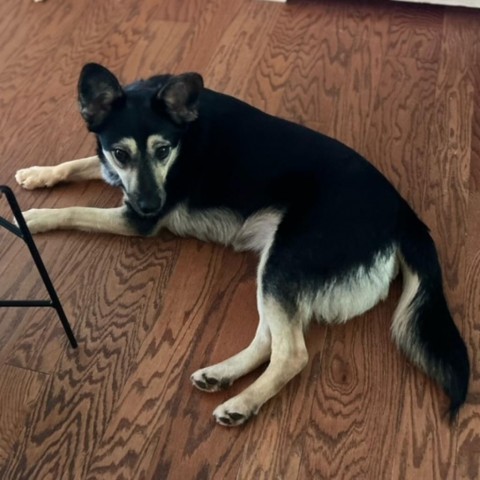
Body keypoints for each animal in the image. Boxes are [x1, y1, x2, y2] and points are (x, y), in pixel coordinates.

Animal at [14, 62, 468, 426]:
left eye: (163, 151)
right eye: (122, 154)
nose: (150, 205)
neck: (183, 137)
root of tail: (404, 215)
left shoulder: (134, 219)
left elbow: (74, 210)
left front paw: (29, 218)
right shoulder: (115, 175)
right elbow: (81, 163)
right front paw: (39, 174)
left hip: (284, 262)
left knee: (292, 353)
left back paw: (242, 403)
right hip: (274, 267)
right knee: (270, 340)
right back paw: (223, 375)